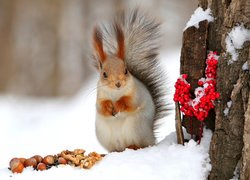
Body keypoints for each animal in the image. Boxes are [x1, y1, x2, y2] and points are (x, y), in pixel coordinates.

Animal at [91, 8, 168, 152]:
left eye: (126, 70)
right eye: (104, 74)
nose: (118, 84)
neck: (115, 93)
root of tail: (151, 136)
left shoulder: (137, 93)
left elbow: (130, 102)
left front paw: (119, 105)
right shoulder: (100, 96)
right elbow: (100, 107)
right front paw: (109, 106)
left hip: (136, 127)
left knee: (140, 144)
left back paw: (134, 146)